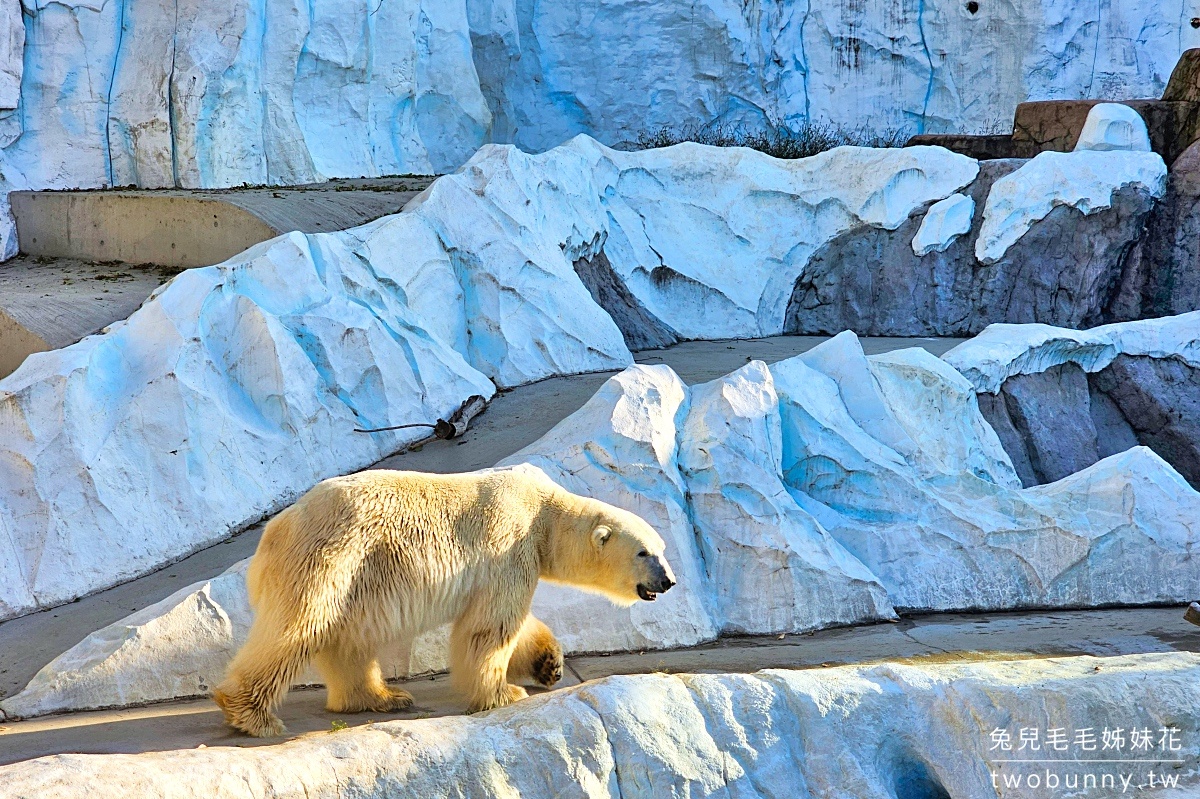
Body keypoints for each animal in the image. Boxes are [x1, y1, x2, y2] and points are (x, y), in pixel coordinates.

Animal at [213, 467, 676, 734]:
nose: (669, 580)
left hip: (355, 578)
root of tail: (275, 532)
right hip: (332, 559)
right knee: (298, 628)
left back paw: (382, 697)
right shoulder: (509, 545)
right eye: (643, 553)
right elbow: (491, 626)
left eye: (662, 548)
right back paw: (252, 715)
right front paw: (504, 693)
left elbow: (508, 620)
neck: (543, 511)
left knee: (348, 639)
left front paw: (548, 663)